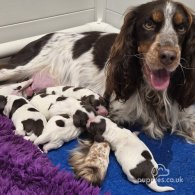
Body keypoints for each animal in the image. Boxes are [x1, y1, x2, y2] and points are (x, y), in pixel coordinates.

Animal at [0, 0, 195, 186]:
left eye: (182, 27)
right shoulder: (111, 111)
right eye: (148, 24)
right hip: (18, 68)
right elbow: (103, 142)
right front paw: (93, 168)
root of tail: (43, 37)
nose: (169, 56)